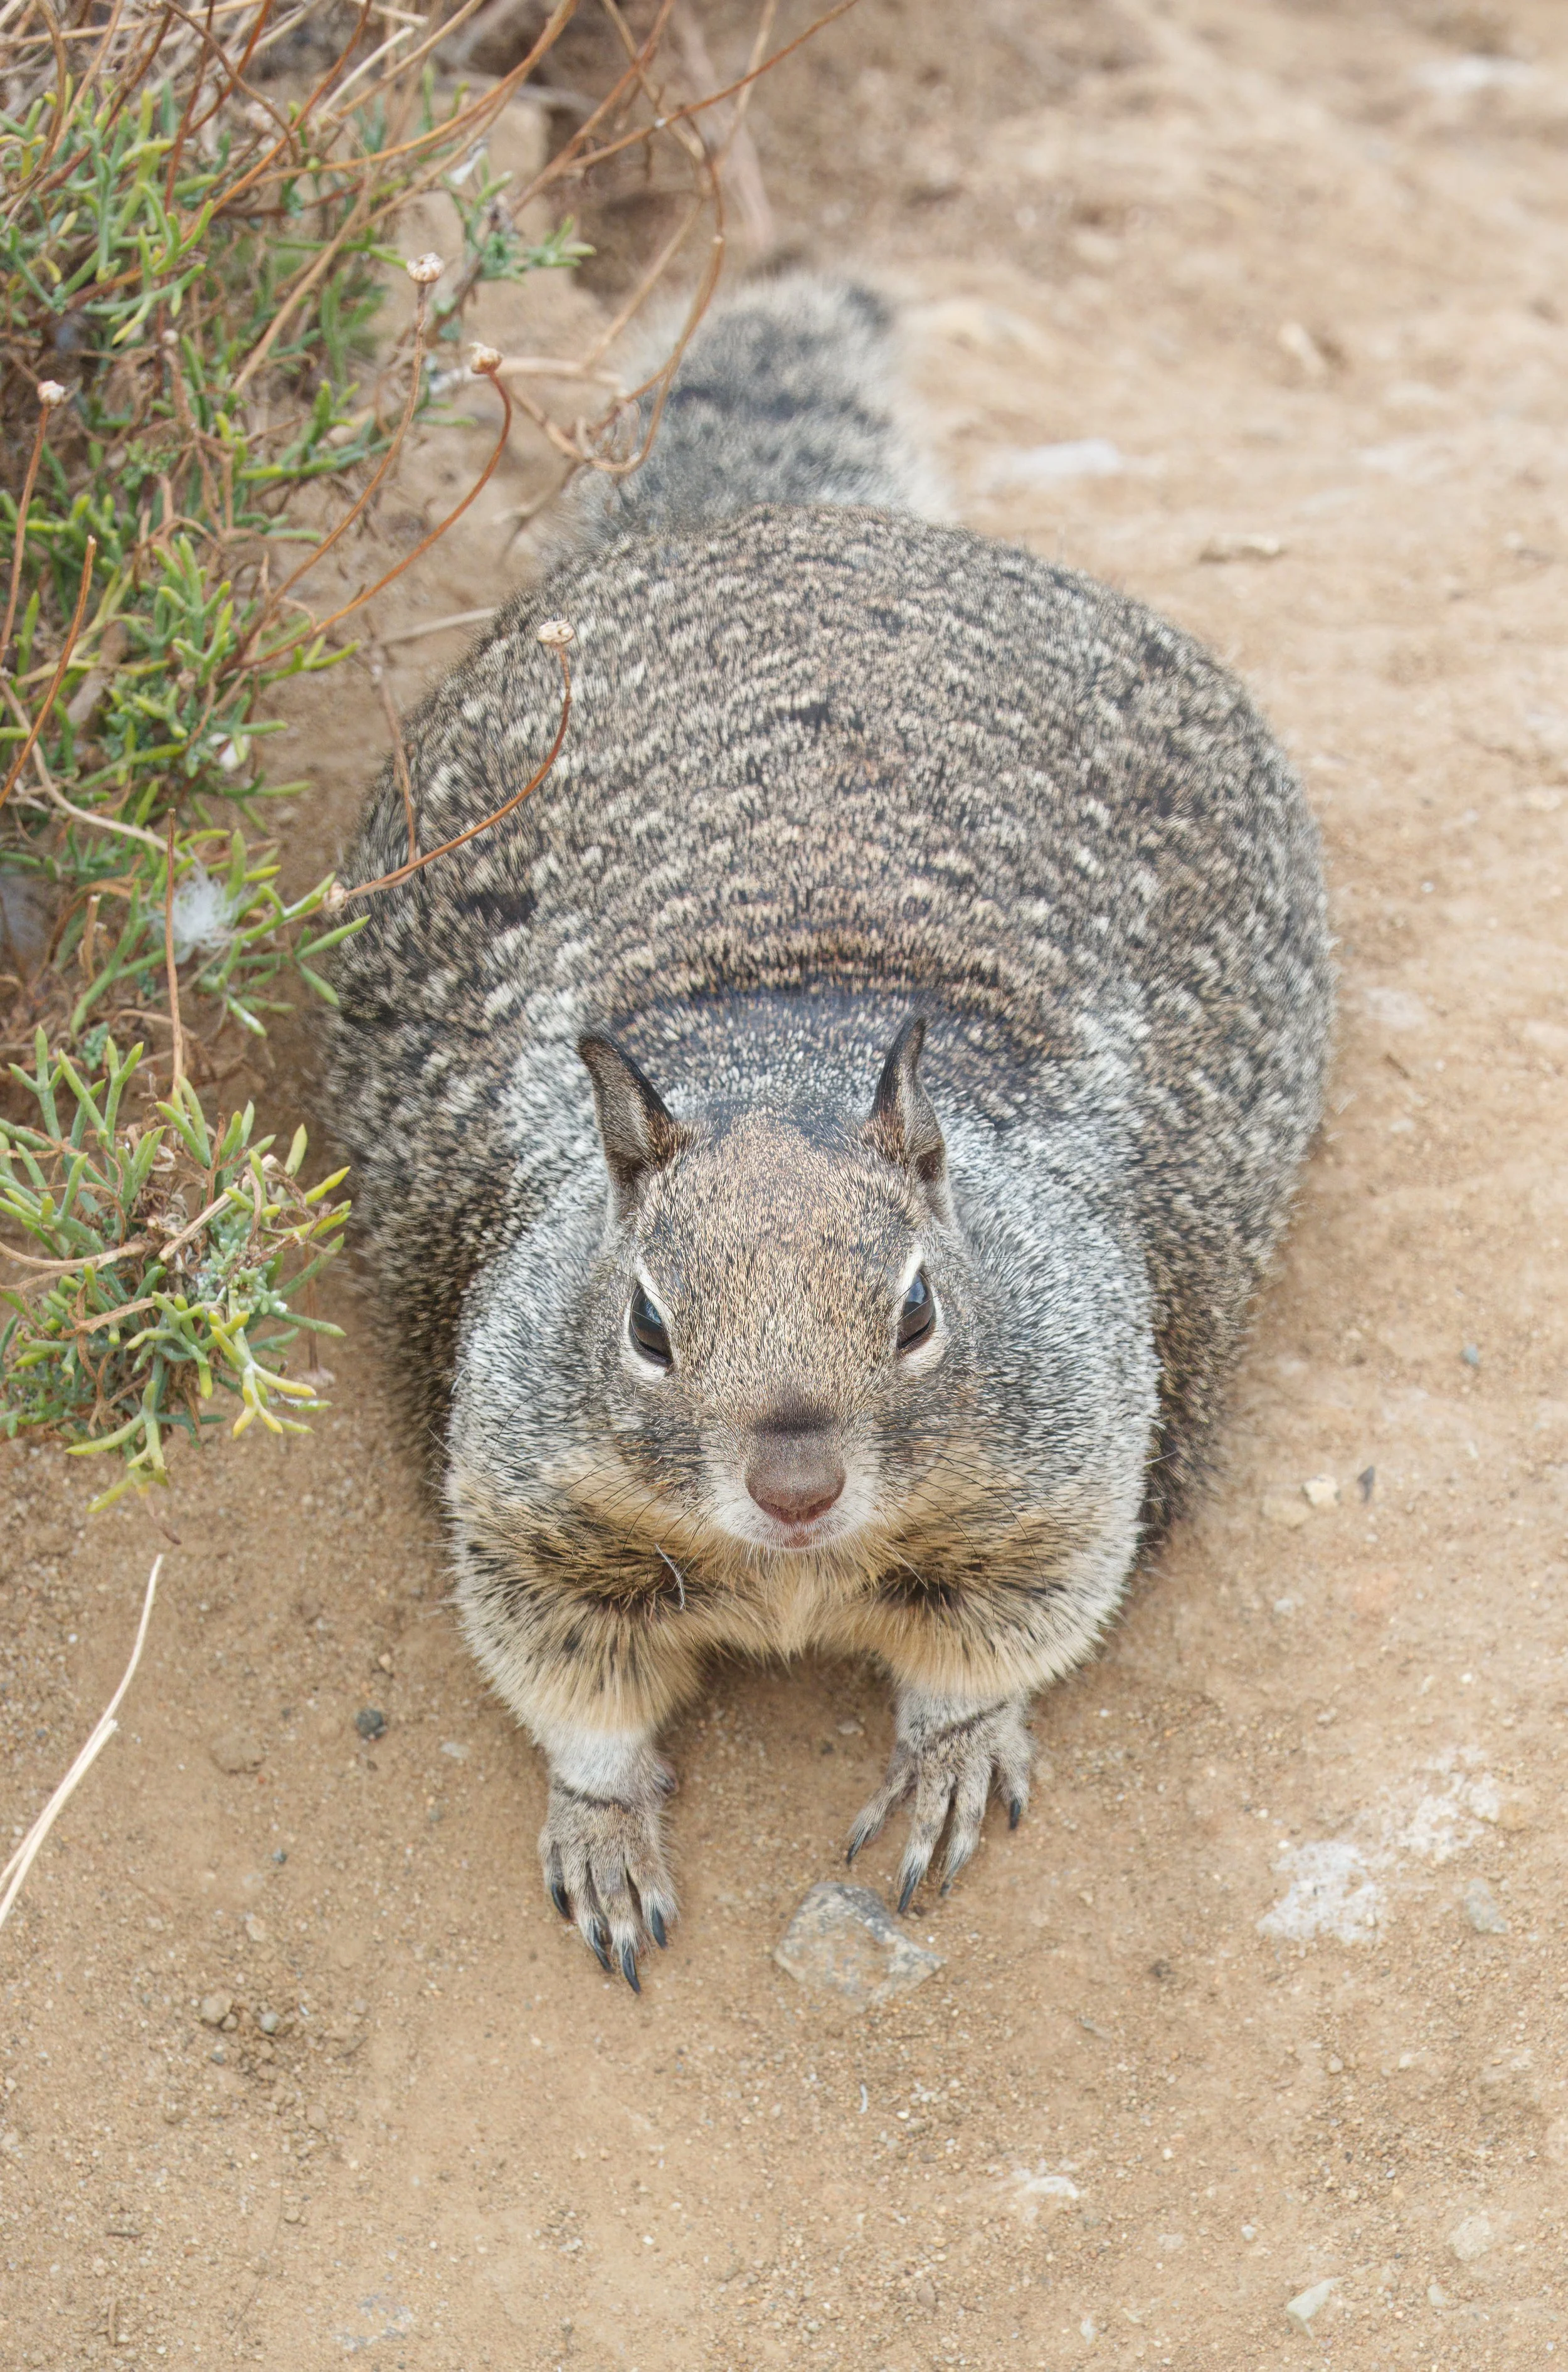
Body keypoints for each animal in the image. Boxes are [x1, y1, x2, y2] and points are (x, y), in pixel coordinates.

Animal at [328, 273, 1333, 1990]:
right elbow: (570, 1692)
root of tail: (804, 515)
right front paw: (603, 1831)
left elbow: (1000, 1645)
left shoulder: (1062, 1482)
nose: (796, 1487)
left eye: (918, 1306)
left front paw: (948, 1763)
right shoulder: (524, 1509)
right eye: (646, 1324)